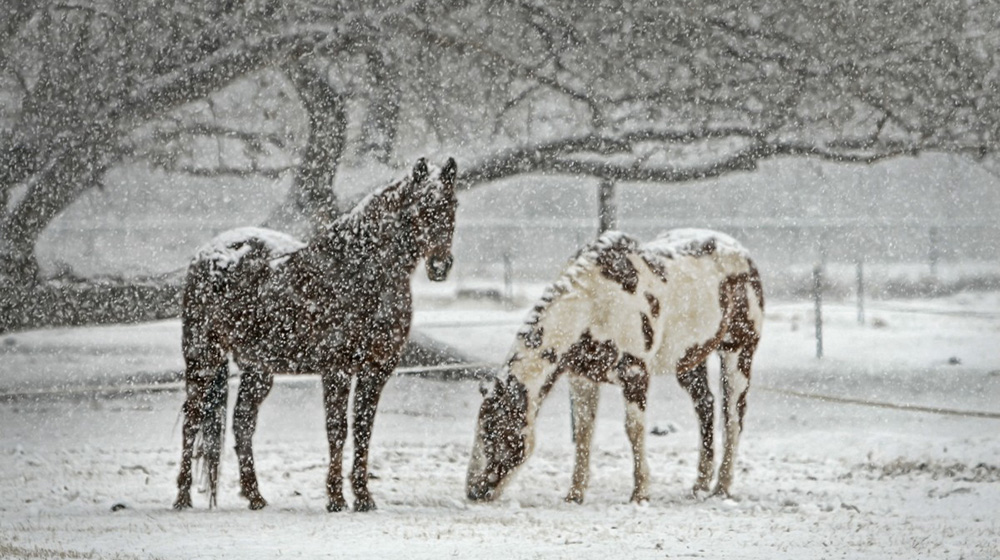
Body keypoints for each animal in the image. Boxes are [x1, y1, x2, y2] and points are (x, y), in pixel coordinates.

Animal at [175, 156, 458, 512]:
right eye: (421, 206)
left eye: (452, 204)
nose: (440, 266)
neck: (360, 271)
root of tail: (207, 254)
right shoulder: (337, 369)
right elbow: (337, 430)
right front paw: (336, 498)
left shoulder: (376, 370)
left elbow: (363, 430)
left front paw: (363, 497)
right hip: (203, 357)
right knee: (192, 419)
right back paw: (182, 497)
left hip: (258, 369)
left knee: (242, 423)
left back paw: (255, 496)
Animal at [464, 228, 760, 504]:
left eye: (495, 432)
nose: (473, 491)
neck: (594, 305)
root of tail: (743, 253)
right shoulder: (582, 378)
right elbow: (584, 432)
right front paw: (575, 494)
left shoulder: (634, 374)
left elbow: (634, 430)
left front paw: (640, 494)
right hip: (689, 362)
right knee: (706, 407)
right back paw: (699, 485)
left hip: (738, 352)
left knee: (733, 417)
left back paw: (722, 488)